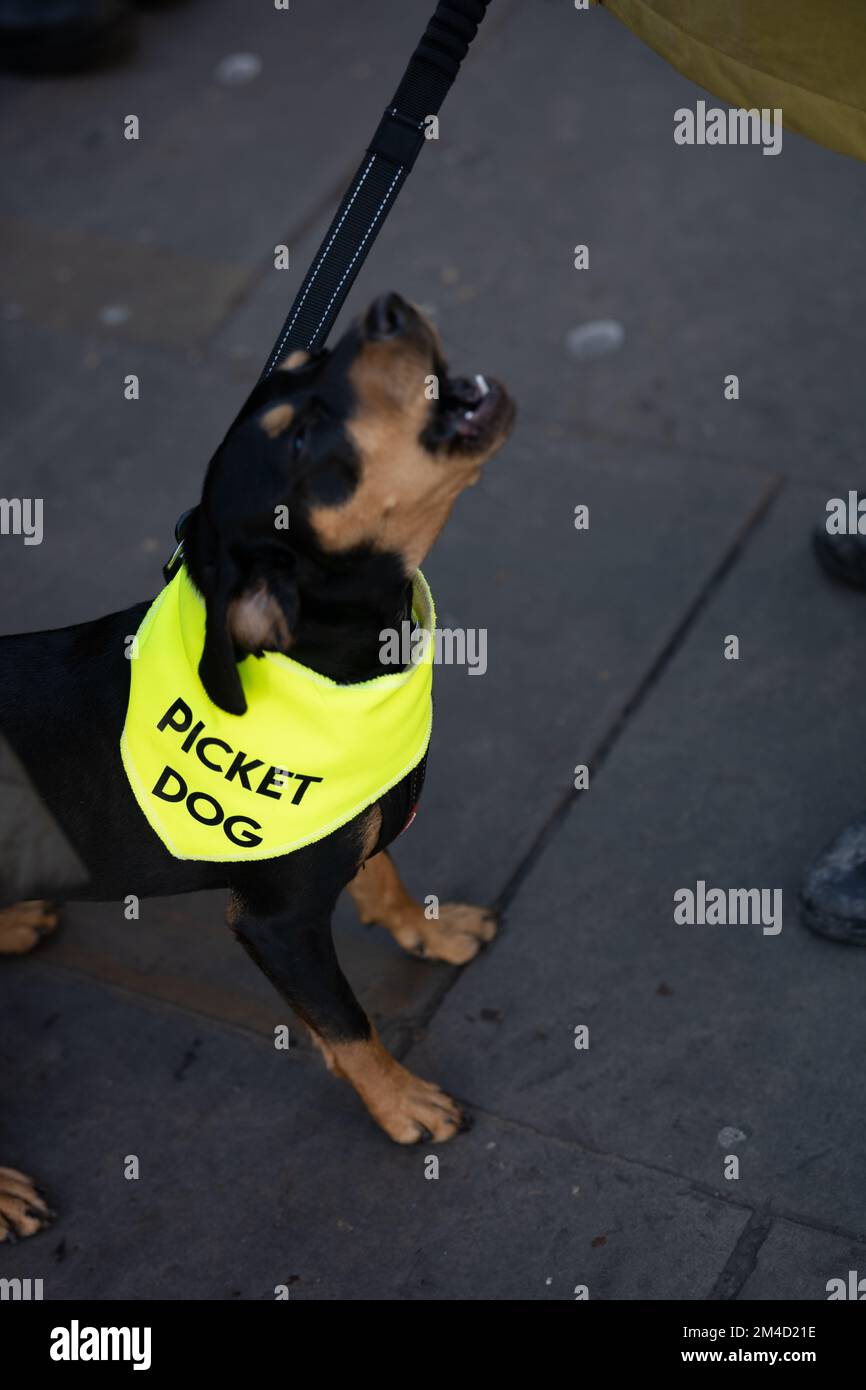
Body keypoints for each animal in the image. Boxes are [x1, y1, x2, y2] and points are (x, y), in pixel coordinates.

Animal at [0, 290, 514, 1239]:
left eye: (313, 359)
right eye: (302, 437)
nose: (386, 306)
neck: (333, 662)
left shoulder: (355, 818)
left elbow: (383, 876)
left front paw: (429, 930)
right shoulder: (274, 921)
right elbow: (346, 1025)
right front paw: (403, 1106)